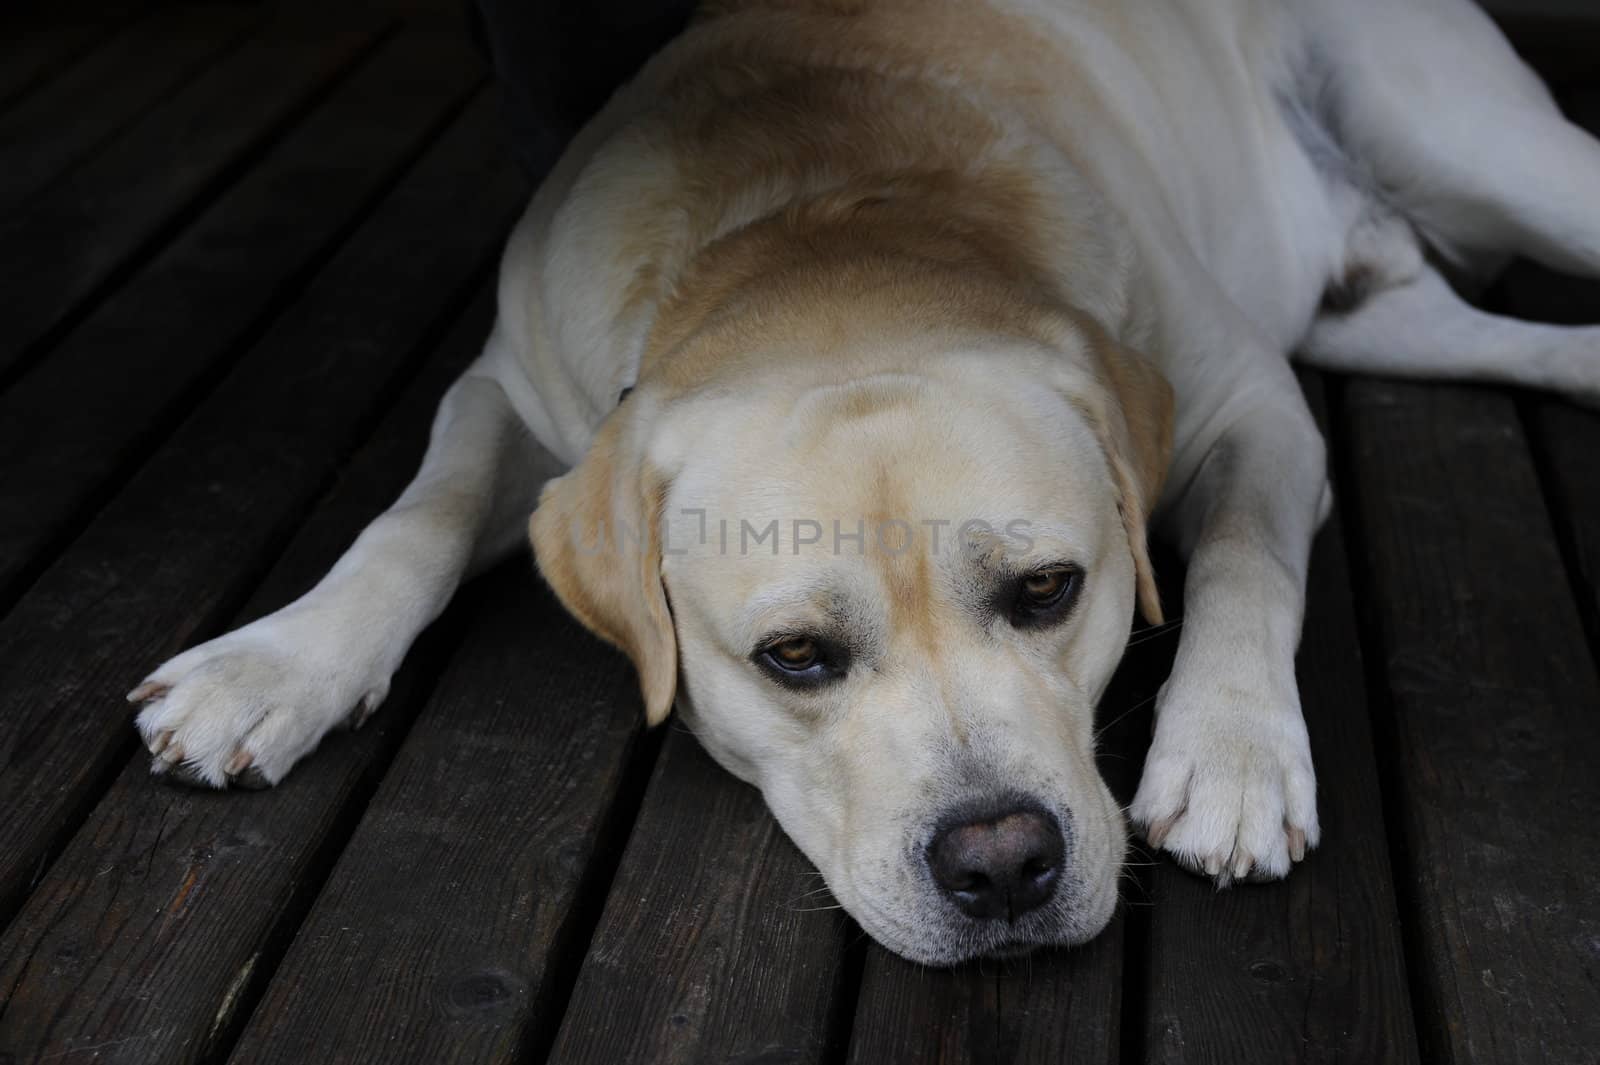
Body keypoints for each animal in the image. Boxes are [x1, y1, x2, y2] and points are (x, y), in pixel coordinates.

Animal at [124, 0, 1600, 959]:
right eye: (795, 658)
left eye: (1050, 590)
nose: (1003, 866)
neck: (825, 219)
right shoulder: (503, 390)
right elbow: (412, 521)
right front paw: (274, 665)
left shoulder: (1253, 404)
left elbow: (1243, 555)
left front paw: (1231, 751)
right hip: (1384, 310)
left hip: (1470, 140)